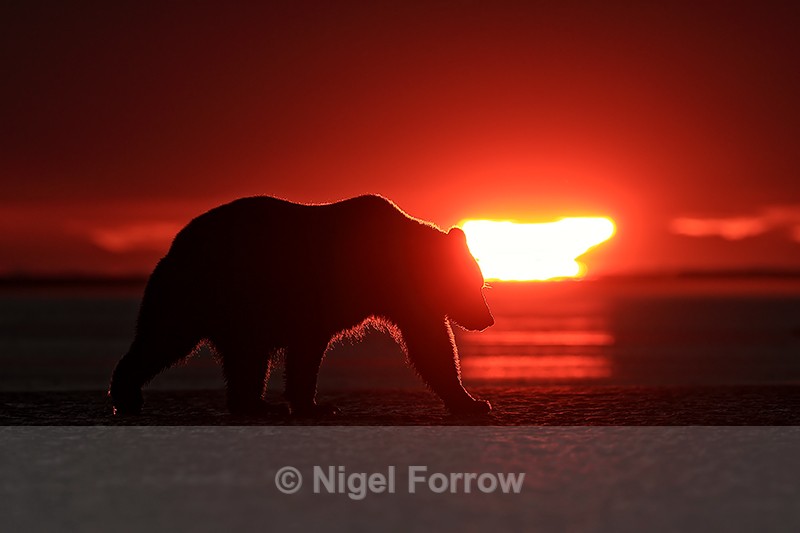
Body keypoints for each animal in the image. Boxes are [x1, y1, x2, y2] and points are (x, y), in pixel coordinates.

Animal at [109, 194, 494, 417]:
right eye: (472, 285)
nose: (487, 318)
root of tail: (175, 245)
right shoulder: (318, 297)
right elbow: (307, 351)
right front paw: (319, 406)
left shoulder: (409, 304)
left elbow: (432, 346)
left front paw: (471, 402)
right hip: (203, 291)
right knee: (165, 338)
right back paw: (127, 395)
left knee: (244, 357)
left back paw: (256, 405)